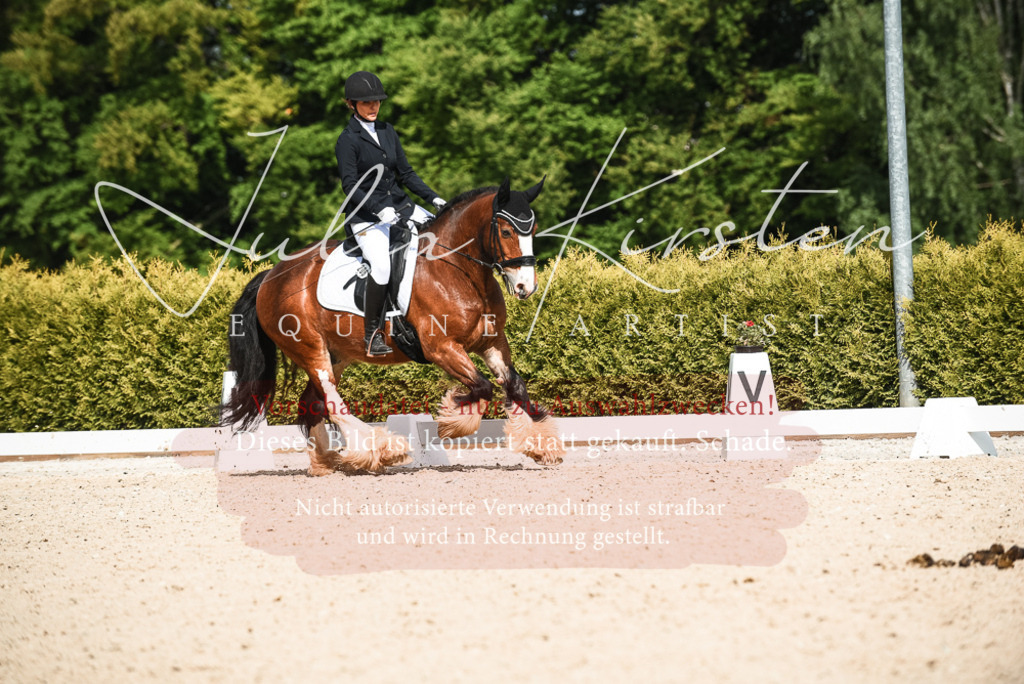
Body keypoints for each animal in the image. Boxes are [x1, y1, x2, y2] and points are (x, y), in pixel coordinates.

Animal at [221, 177, 565, 475]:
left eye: (532, 229)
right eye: (506, 232)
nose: (525, 287)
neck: (459, 270)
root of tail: (271, 275)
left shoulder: (491, 342)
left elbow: (514, 386)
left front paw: (542, 446)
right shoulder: (441, 348)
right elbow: (482, 387)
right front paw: (453, 417)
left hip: (336, 354)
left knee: (312, 404)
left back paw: (327, 462)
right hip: (309, 348)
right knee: (332, 402)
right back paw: (381, 450)